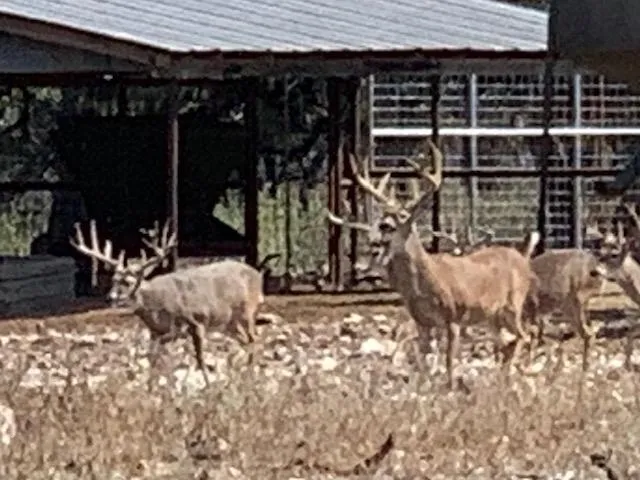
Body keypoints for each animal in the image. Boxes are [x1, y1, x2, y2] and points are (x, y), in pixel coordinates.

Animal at [71, 219, 266, 388]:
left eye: (127, 282)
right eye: (113, 280)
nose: (110, 298)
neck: (157, 307)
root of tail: (256, 274)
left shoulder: (196, 321)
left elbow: (200, 359)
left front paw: (208, 387)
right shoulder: (156, 332)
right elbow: (153, 361)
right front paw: (151, 390)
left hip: (247, 311)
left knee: (254, 339)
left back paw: (250, 377)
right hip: (228, 324)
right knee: (246, 341)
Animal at [328, 140, 544, 390]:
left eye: (388, 226)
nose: (372, 244)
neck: (425, 284)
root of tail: (522, 257)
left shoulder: (454, 316)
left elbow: (449, 361)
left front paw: (450, 388)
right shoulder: (422, 322)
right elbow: (422, 359)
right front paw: (424, 387)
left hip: (512, 304)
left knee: (524, 335)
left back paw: (516, 373)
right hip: (492, 316)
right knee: (507, 342)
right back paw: (501, 376)